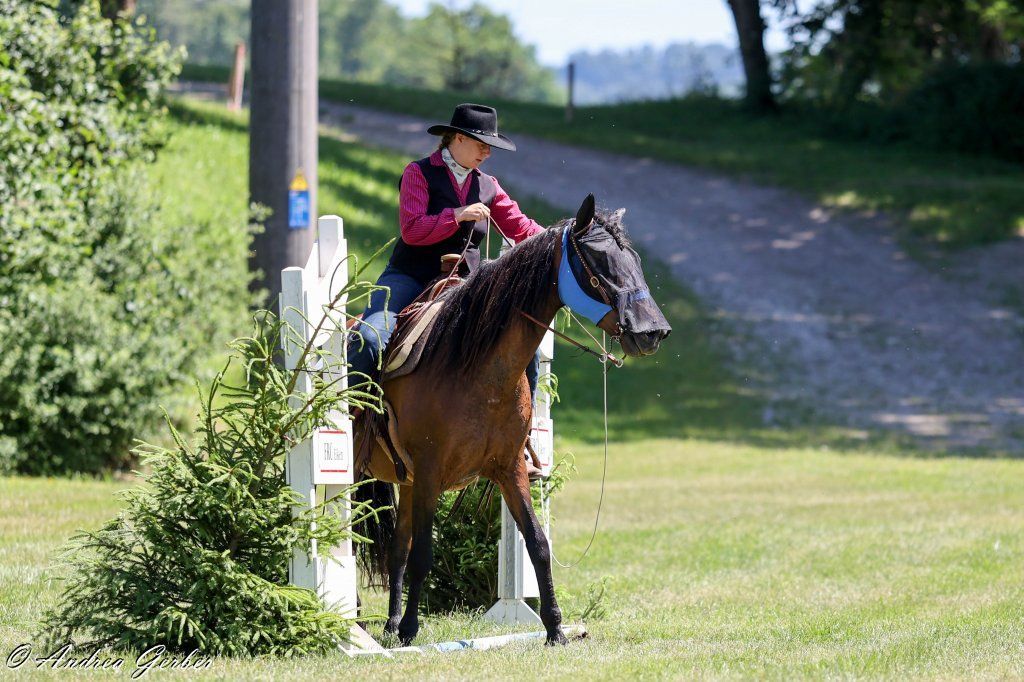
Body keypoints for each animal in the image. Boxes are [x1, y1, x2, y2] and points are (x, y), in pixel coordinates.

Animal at [353, 194, 671, 646]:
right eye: (599, 260)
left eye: (635, 259)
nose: (652, 331)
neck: (472, 365)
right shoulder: (430, 471)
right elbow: (423, 556)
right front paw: (413, 629)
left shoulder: (508, 468)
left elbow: (537, 543)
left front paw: (555, 628)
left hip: (407, 480)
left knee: (396, 548)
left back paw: (391, 623)